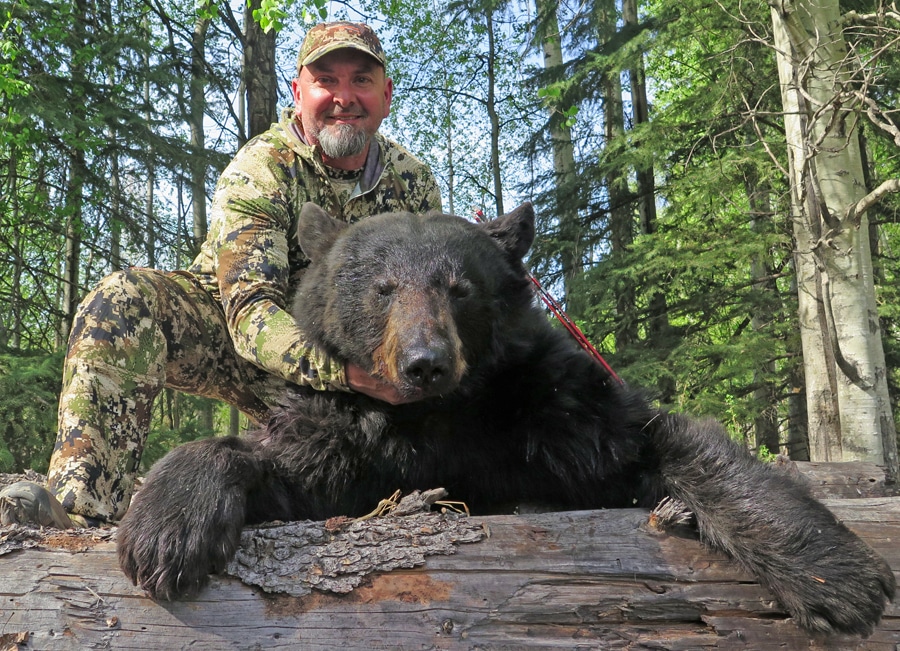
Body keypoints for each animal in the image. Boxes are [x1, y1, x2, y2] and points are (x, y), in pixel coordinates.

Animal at [118, 202, 892, 636]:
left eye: (459, 287)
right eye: (384, 287)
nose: (425, 362)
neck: (437, 418)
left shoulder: (554, 408)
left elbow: (663, 442)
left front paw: (836, 577)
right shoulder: (349, 434)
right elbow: (284, 465)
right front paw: (163, 530)